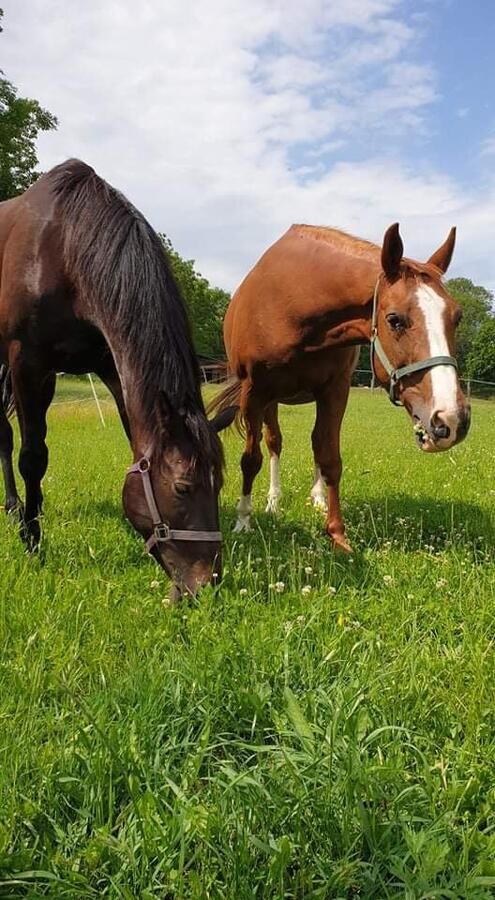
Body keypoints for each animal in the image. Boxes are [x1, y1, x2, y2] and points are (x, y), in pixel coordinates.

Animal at [0, 160, 232, 596]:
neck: (61, 248)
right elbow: (32, 457)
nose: (205, 582)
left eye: (220, 484)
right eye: (183, 487)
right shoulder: (26, 361)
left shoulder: (110, 365)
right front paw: (33, 543)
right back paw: (14, 510)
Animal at [209, 221, 472, 552]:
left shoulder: (335, 389)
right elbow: (250, 459)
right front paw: (243, 520)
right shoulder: (255, 392)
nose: (452, 419)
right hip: (270, 402)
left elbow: (330, 458)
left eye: (457, 317)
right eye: (395, 320)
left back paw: (318, 498)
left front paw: (336, 534)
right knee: (273, 443)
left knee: (315, 443)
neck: (292, 306)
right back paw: (273, 501)